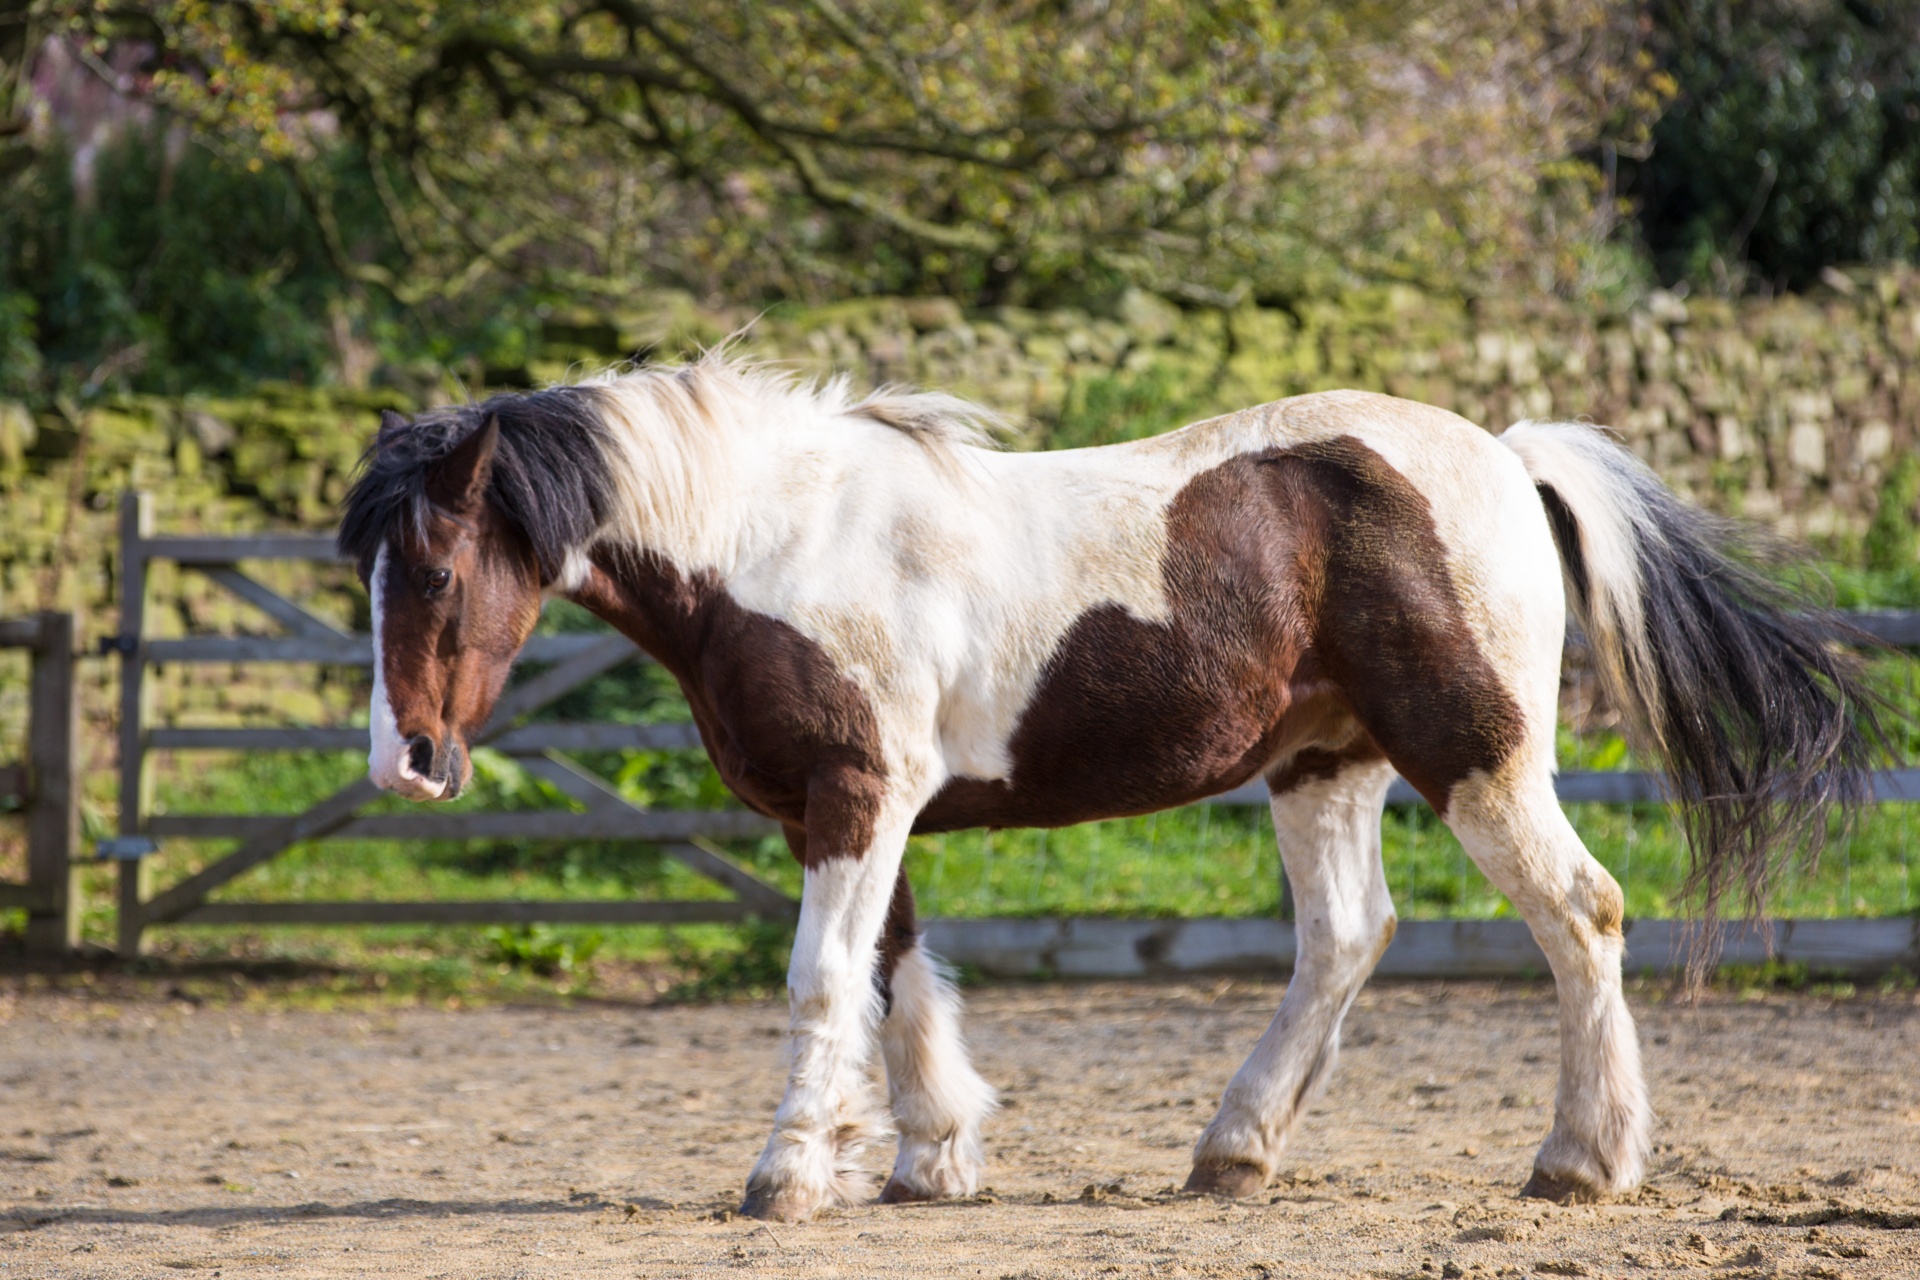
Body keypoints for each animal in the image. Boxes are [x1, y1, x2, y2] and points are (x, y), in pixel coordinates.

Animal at [337, 355, 1881, 1228]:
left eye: (433, 569)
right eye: (368, 569)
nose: (403, 763)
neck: (779, 547)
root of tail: (1505, 455)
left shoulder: (852, 799)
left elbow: (825, 981)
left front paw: (787, 1178)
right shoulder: (869, 812)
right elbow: (899, 973)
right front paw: (929, 1158)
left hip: (1475, 757)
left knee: (1582, 912)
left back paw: (1581, 1161)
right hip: (1322, 765)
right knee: (1346, 937)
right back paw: (1235, 1151)